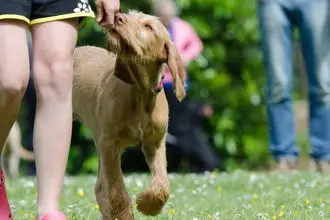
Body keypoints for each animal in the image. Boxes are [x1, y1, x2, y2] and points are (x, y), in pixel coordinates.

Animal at [72, 10, 186, 220]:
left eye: (148, 27)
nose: (118, 17)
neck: (139, 92)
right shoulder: (110, 144)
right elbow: (117, 190)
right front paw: (124, 214)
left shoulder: (154, 143)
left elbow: (162, 184)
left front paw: (148, 205)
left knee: (100, 187)